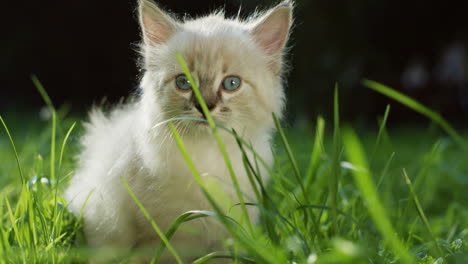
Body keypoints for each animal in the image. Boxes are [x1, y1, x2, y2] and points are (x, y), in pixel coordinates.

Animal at [65, 0, 292, 260]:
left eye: (231, 84)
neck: (208, 155)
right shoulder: (163, 231)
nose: (205, 106)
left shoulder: (232, 229)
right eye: (184, 83)